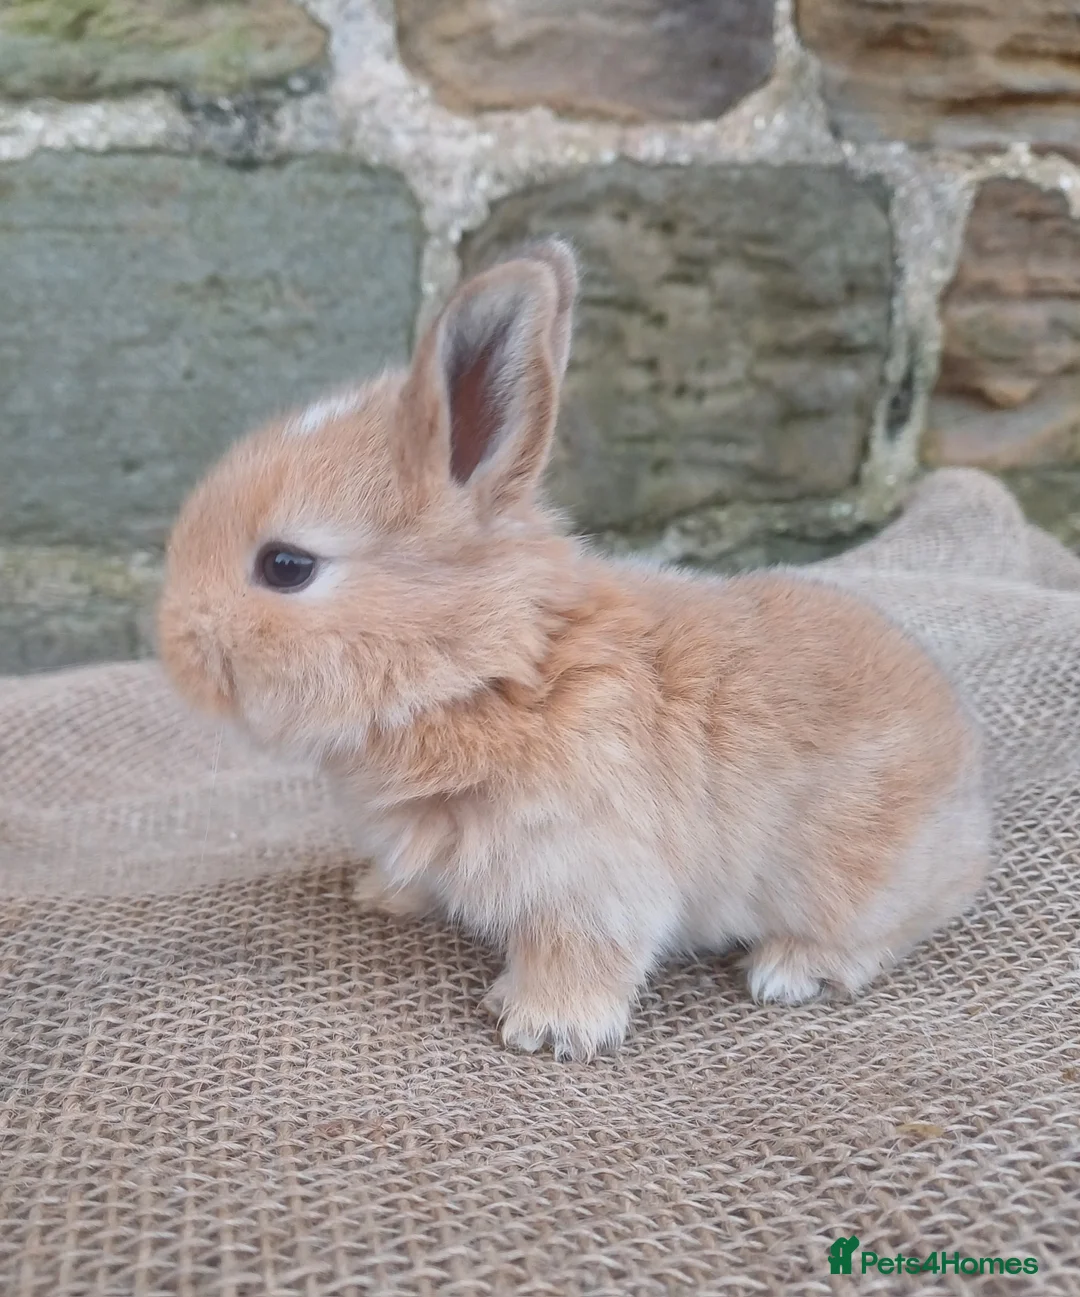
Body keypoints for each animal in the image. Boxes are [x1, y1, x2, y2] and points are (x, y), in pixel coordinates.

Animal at [157, 238, 991, 1061]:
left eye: (285, 565)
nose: (174, 646)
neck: (483, 669)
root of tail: (969, 795)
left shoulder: (590, 879)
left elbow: (580, 951)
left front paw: (547, 1027)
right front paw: (385, 894)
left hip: (856, 882)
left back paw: (789, 969)